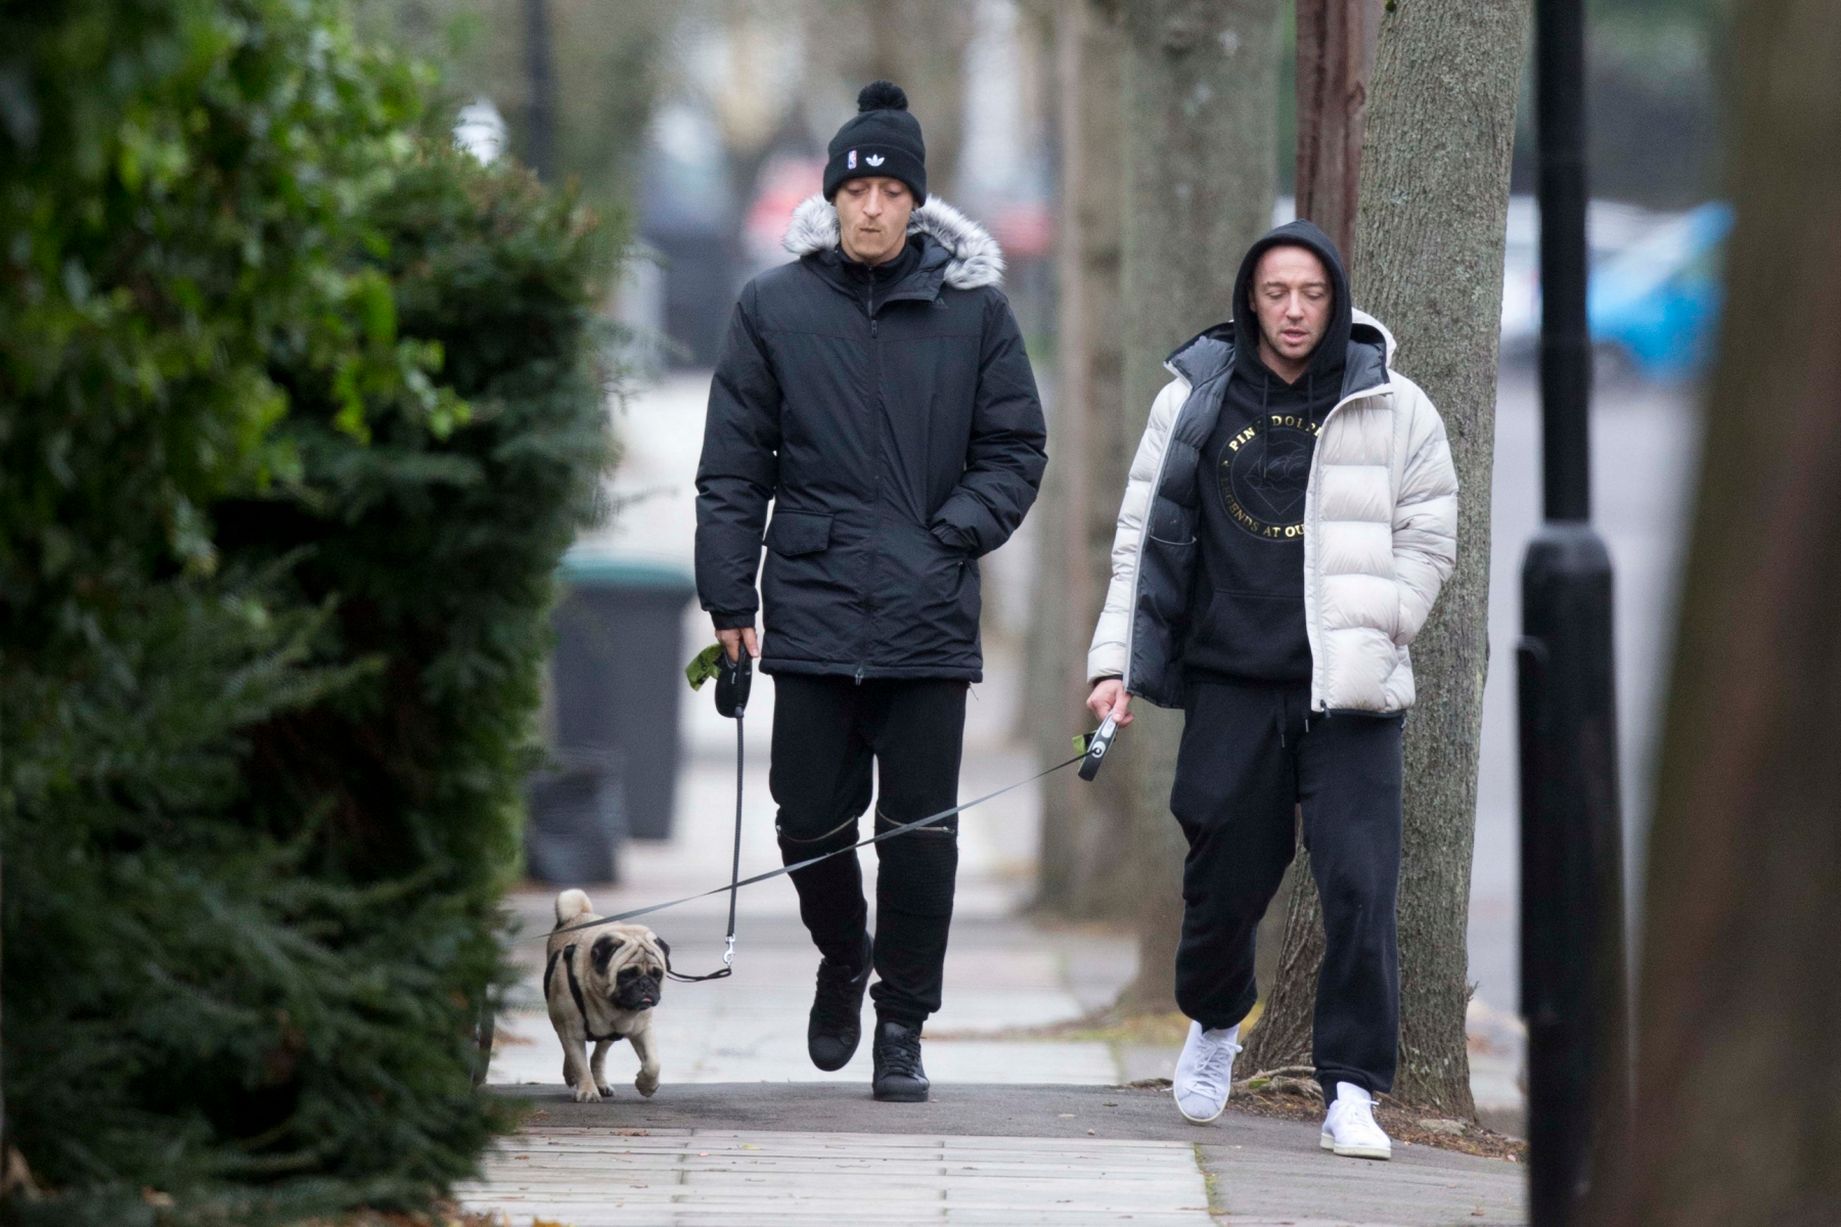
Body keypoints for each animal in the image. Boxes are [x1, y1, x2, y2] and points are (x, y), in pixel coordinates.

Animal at [537, 888, 670, 1098]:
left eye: (656, 975)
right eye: (626, 975)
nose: (645, 984)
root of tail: (580, 913)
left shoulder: (642, 1028)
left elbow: (653, 1063)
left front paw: (646, 1085)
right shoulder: (571, 1031)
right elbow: (579, 1064)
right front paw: (588, 1091)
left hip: (610, 1034)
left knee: (598, 1056)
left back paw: (600, 1083)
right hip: (563, 1024)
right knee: (573, 1055)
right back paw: (574, 1075)